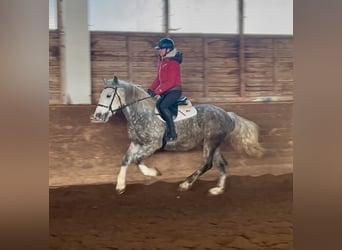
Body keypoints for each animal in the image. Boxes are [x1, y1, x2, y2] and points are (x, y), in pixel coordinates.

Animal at [91, 76, 264, 195]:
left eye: (108, 95)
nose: (98, 116)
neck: (142, 113)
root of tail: (227, 115)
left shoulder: (153, 144)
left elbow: (137, 159)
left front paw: (153, 173)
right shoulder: (135, 142)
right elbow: (126, 159)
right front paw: (120, 186)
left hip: (210, 142)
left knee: (206, 164)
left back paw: (186, 184)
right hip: (213, 144)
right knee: (222, 164)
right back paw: (217, 190)